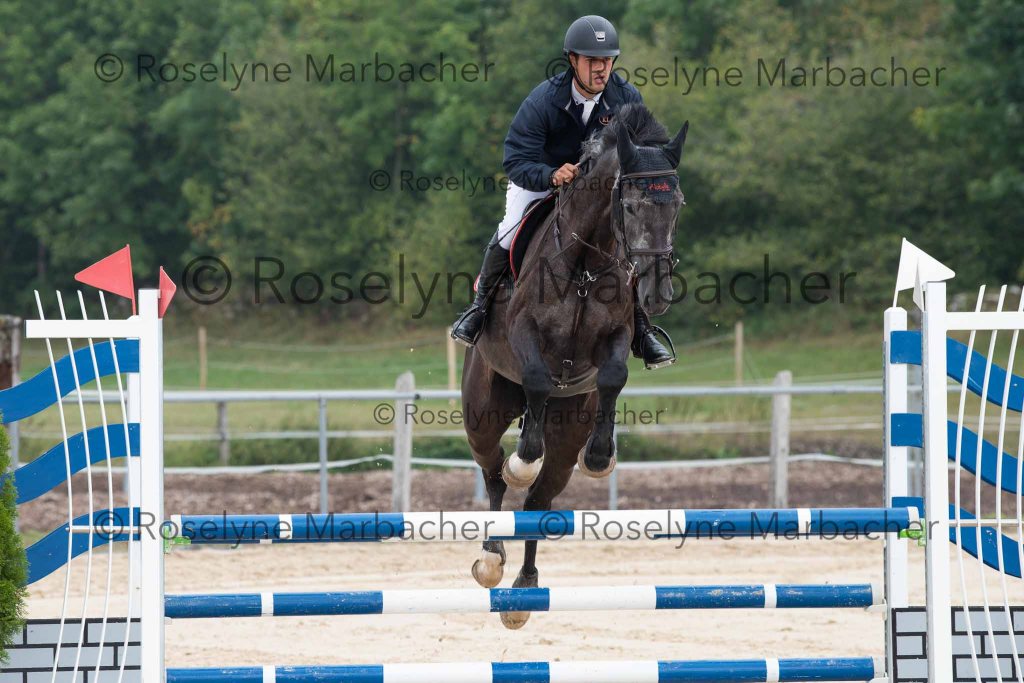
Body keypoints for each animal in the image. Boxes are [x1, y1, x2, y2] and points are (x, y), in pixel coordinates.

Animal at [460, 104, 687, 629]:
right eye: (630, 206)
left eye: (678, 204)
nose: (658, 295)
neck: (584, 263)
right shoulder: (524, 333)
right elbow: (539, 379)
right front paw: (524, 458)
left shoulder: (616, 337)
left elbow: (614, 377)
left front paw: (601, 457)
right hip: (483, 413)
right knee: (495, 473)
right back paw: (492, 556)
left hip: (566, 430)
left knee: (540, 499)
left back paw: (525, 587)